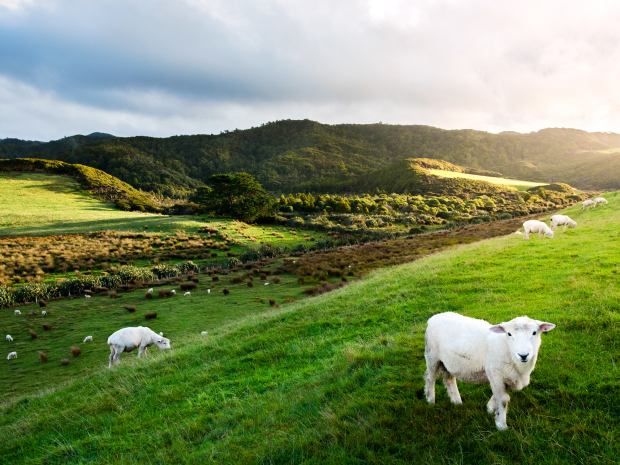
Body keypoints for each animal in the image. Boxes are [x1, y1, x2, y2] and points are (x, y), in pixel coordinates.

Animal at [424, 310, 556, 430]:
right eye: (509, 334)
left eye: (534, 332)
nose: (523, 355)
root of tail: (435, 317)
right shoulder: (495, 373)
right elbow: (503, 399)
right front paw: (501, 426)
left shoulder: (505, 377)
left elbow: (498, 396)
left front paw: (490, 409)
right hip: (432, 356)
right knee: (430, 378)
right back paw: (430, 400)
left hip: (449, 362)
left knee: (449, 379)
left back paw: (457, 402)